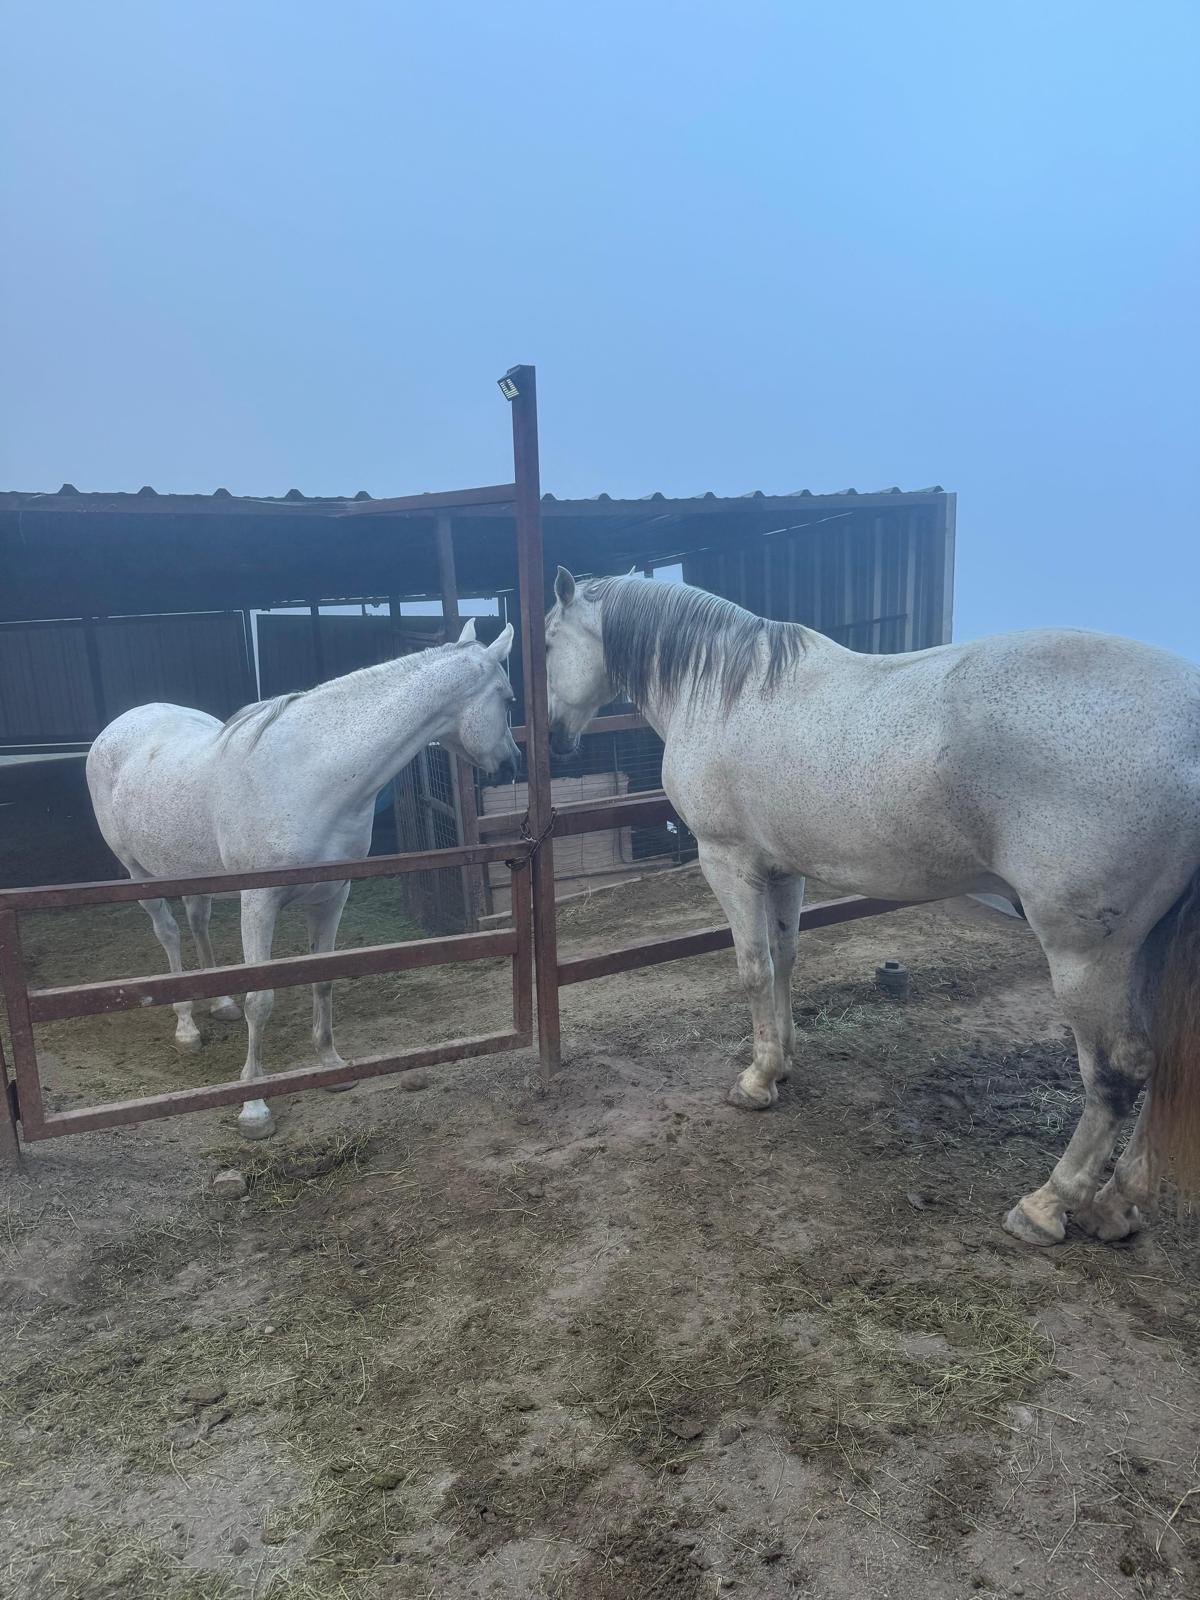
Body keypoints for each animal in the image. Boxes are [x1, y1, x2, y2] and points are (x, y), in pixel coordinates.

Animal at [86, 619, 519, 1139]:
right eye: (509, 697)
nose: (512, 763)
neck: (310, 774)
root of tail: (120, 725)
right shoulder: (259, 902)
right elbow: (261, 1000)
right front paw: (254, 1107)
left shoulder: (332, 896)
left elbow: (322, 981)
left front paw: (331, 1066)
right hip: (142, 876)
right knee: (169, 934)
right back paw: (187, 1026)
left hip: (189, 872)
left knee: (198, 922)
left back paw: (219, 1003)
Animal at [544, 569, 1200, 1246]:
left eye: (547, 641)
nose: (555, 738)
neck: (725, 692)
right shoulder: (782, 870)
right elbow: (784, 959)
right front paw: (780, 1064)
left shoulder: (727, 863)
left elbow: (754, 968)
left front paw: (754, 1083)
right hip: (1148, 947)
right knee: (1168, 1064)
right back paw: (1116, 1205)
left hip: (1086, 954)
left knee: (1118, 1072)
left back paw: (1048, 1205)